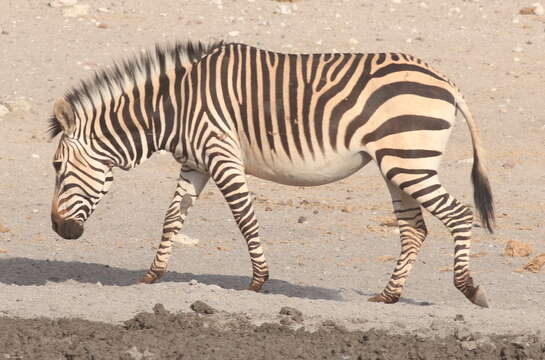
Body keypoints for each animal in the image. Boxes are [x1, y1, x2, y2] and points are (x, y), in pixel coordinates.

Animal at [50, 41, 492, 306]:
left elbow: (245, 218)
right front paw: (152, 274)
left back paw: (470, 288)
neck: (173, 106)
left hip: (409, 160)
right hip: (398, 164)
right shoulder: (195, 163)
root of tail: (444, 79)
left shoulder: (221, 154)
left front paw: (258, 281)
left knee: (459, 215)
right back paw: (388, 295)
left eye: (57, 167)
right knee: (414, 228)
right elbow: (172, 217)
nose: (57, 229)